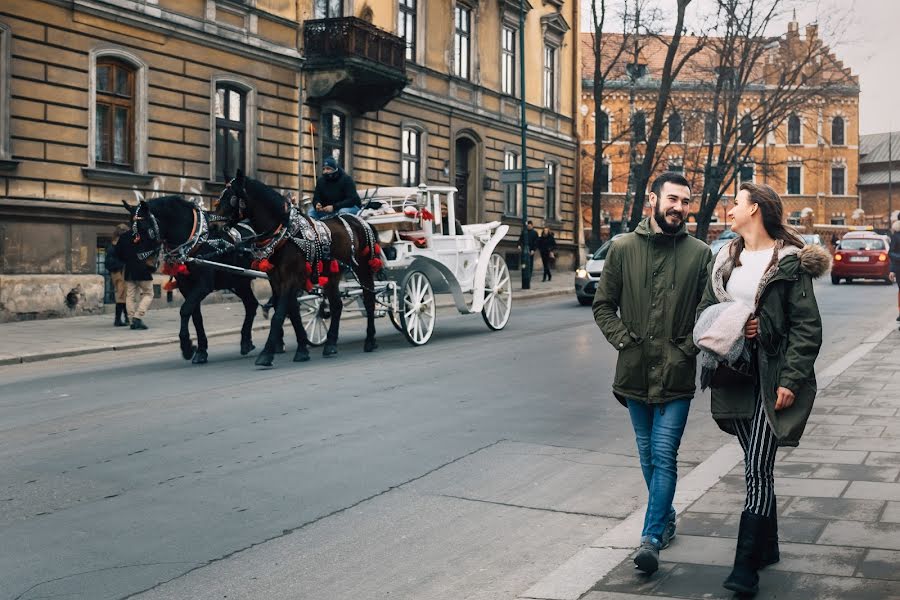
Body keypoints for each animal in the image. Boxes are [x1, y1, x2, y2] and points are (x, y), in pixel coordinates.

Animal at [125, 195, 262, 364]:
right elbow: (196, 316)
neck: (195, 242)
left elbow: (185, 310)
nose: (148, 266)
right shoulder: (186, 287)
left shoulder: (203, 285)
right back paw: (246, 342)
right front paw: (200, 350)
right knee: (251, 304)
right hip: (239, 282)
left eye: (147, 229)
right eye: (133, 234)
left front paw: (187, 347)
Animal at [215, 169, 384, 366]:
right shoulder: (276, 280)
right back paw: (330, 344)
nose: (214, 225)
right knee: (336, 305)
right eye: (221, 197)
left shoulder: (291, 278)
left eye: (232, 198)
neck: (283, 234)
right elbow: (292, 313)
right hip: (332, 274)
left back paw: (370, 340)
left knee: (369, 300)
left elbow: (279, 314)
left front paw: (267, 353)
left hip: (363, 268)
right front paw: (302, 348)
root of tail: (361, 221)